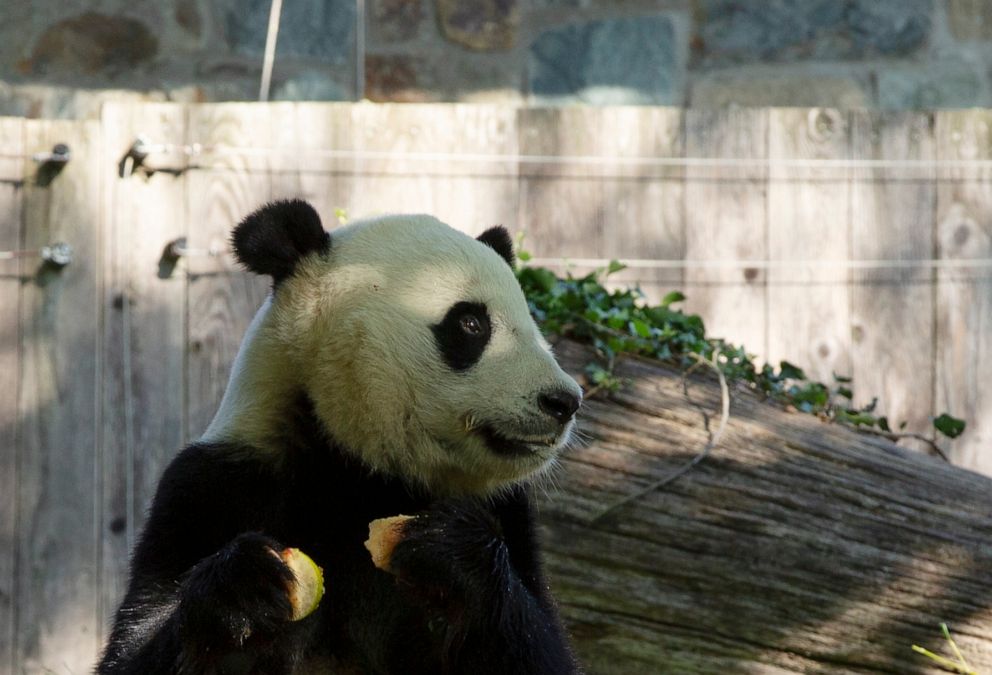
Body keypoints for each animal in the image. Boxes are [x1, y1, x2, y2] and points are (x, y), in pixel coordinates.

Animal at [95, 201, 580, 675]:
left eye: (529, 319)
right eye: (471, 324)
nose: (564, 401)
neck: (358, 471)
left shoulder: (509, 512)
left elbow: (544, 651)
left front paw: (453, 549)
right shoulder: (215, 485)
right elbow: (135, 647)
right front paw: (245, 585)